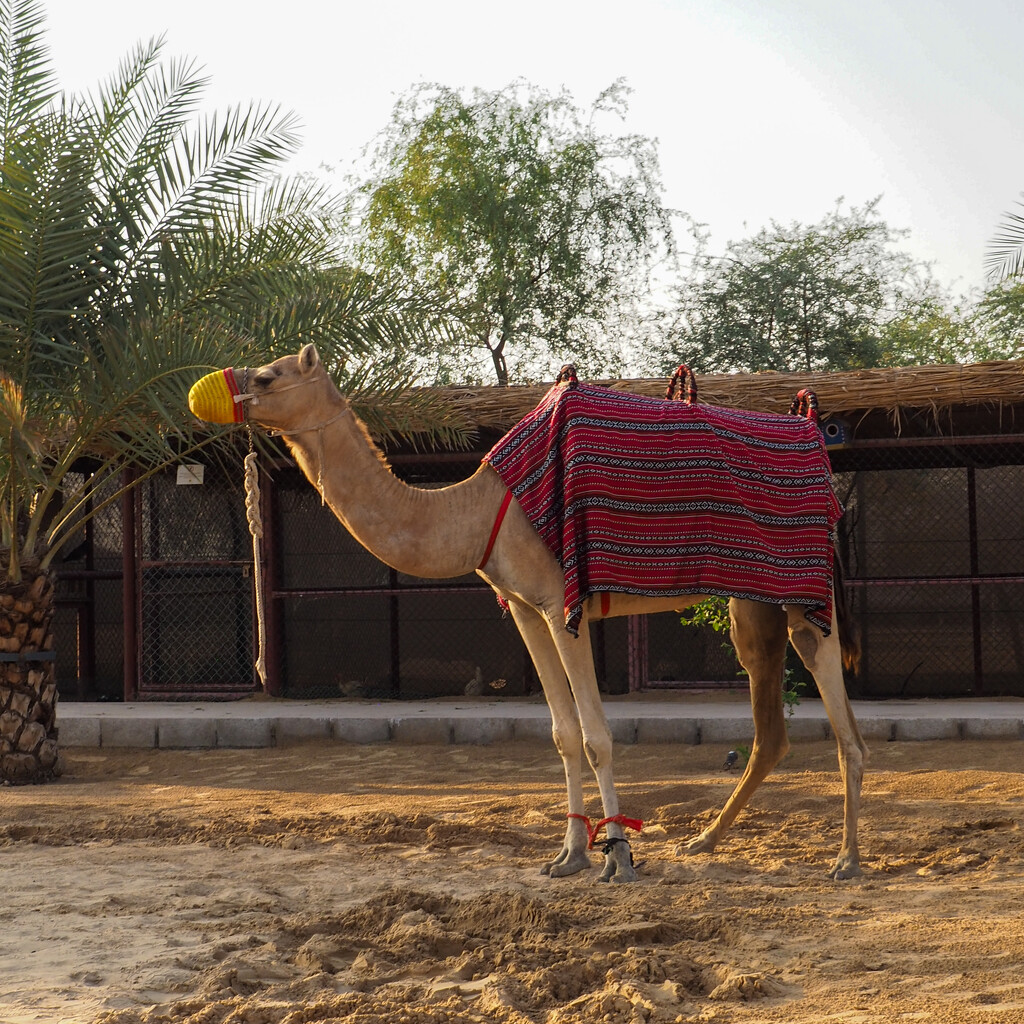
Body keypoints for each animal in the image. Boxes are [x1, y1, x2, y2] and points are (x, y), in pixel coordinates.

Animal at [188, 342, 868, 880]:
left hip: (807, 596)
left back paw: (847, 860)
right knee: (771, 728)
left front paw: (619, 857)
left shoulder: (564, 605)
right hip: (753, 604)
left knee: (843, 723)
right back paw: (703, 841)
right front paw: (568, 856)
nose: (206, 392)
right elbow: (564, 735)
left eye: (267, 377)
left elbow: (596, 736)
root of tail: (817, 445)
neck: (482, 510)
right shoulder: (524, 608)